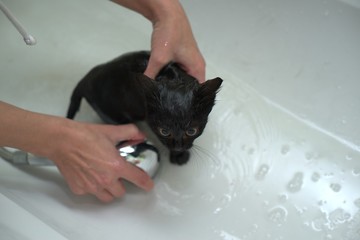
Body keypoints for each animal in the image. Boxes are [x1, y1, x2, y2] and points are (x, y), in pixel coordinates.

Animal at [65, 51, 221, 165]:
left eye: (191, 131)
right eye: (164, 131)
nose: (178, 147)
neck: (172, 77)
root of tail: (85, 81)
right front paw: (178, 155)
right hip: (113, 115)